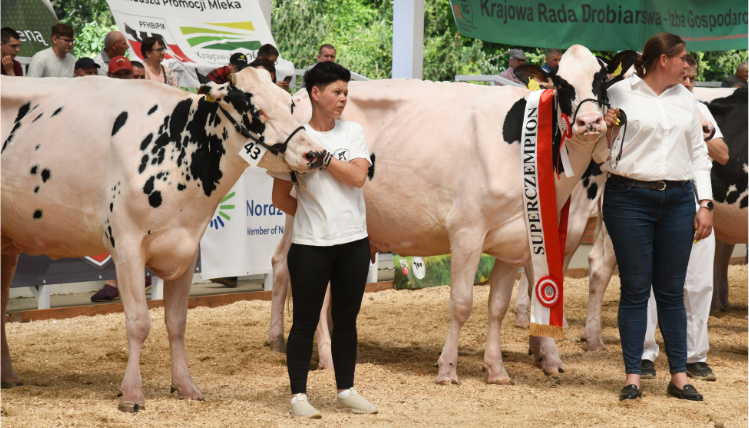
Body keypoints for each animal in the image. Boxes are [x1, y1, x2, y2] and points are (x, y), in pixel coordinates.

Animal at [1, 68, 326, 412]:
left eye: (290, 104)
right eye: (255, 111)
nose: (316, 153)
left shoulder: (186, 248)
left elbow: (177, 322)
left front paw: (185, 386)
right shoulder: (126, 247)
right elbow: (139, 322)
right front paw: (132, 394)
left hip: (7, 245)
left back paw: (8, 375)